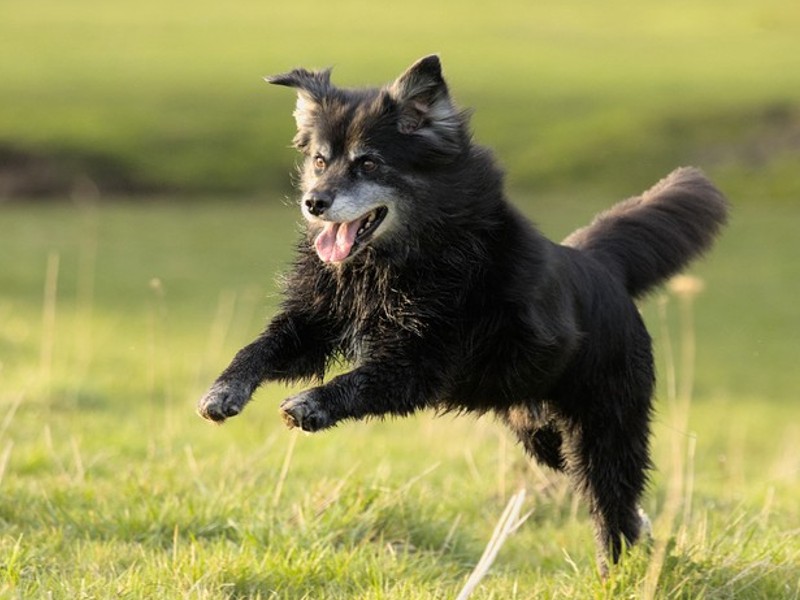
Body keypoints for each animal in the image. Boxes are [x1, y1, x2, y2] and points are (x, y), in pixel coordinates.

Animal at [197, 55, 728, 568]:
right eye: (319, 160)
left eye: (369, 164)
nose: (313, 202)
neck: (394, 261)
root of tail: (601, 266)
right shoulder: (315, 323)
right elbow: (260, 348)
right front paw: (222, 393)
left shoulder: (421, 361)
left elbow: (360, 380)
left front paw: (310, 405)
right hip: (540, 432)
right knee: (615, 496)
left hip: (603, 425)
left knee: (612, 499)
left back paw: (618, 569)